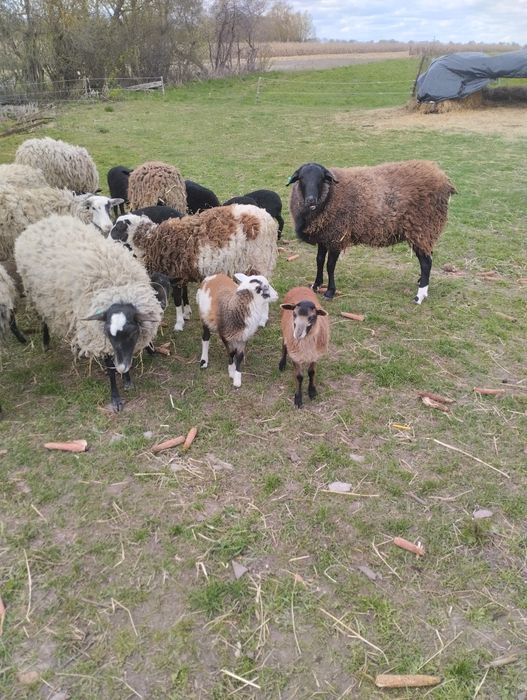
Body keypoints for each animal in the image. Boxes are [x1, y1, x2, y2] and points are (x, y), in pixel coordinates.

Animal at [14, 214, 163, 412]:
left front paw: (127, 379)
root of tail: (42, 222)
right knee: (44, 319)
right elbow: (110, 368)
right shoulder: (99, 335)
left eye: (132, 333)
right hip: (37, 295)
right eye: (109, 333)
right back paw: (45, 342)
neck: (117, 288)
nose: (122, 368)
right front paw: (116, 397)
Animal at [110, 204, 278, 332]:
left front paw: (178, 324)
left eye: (117, 228)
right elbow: (184, 296)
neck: (153, 240)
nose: (106, 239)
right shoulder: (182, 273)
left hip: (260, 261)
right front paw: (186, 314)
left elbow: (177, 300)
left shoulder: (175, 275)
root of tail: (268, 219)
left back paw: (263, 320)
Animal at [287, 161, 456, 303]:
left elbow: (330, 265)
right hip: (425, 233)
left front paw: (330, 292)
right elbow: (319, 260)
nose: (311, 200)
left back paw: (419, 295)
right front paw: (316, 285)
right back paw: (421, 282)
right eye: (301, 178)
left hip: (422, 227)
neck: (330, 195)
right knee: (428, 257)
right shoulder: (324, 236)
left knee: (426, 262)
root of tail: (442, 177)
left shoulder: (337, 236)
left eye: (321, 178)